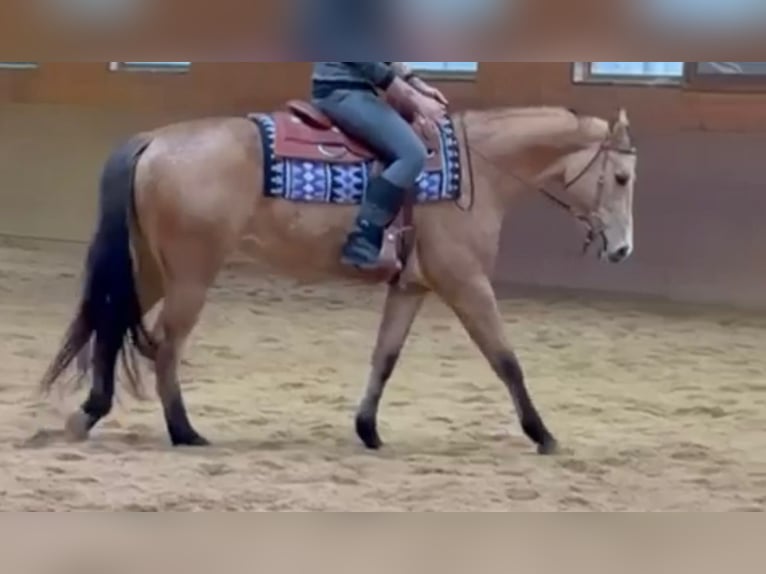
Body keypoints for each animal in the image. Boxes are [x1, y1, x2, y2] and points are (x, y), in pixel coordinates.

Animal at [40, 99, 638, 456]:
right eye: (622, 177)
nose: (623, 250)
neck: (477, 171)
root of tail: (156, 139)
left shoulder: (411, 287)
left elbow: (385, 358)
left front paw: (368, 430)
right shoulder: (465, 283)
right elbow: (506, 359)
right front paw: (543, 434)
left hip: (152, 267)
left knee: (112, 323)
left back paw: (89, 415)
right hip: (191, 274)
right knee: (166, 346)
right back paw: (183, 431)